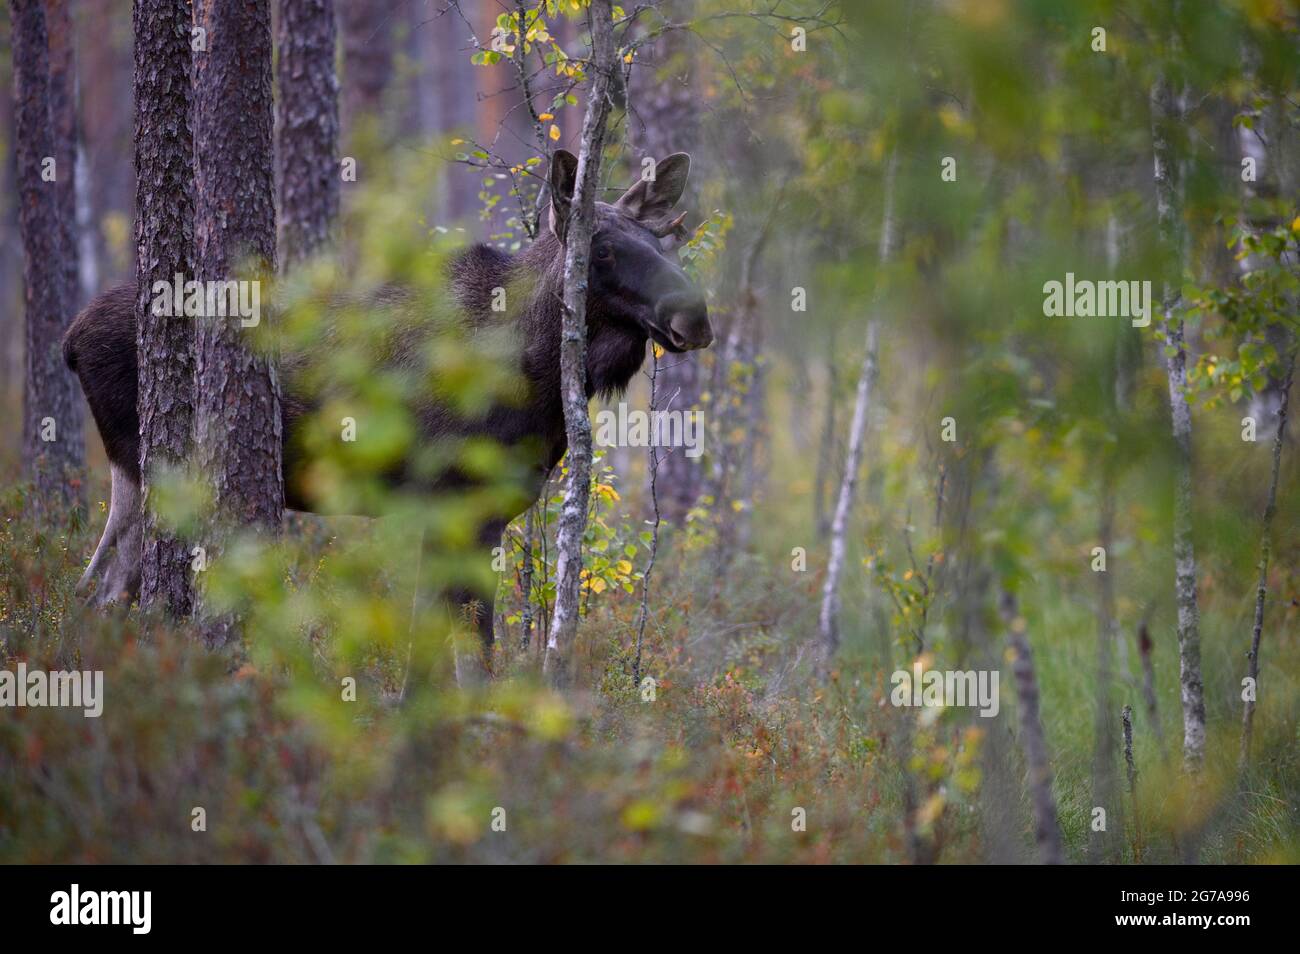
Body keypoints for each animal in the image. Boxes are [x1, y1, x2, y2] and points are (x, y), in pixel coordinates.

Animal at [61, 151, 713, 670]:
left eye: (663, 243)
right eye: (602, 249)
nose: (695, 315)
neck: (534, 369)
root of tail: (71, 337)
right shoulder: (450, 501)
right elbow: (467, 649)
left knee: (98, 588)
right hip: (149, 469)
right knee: (110, 590)